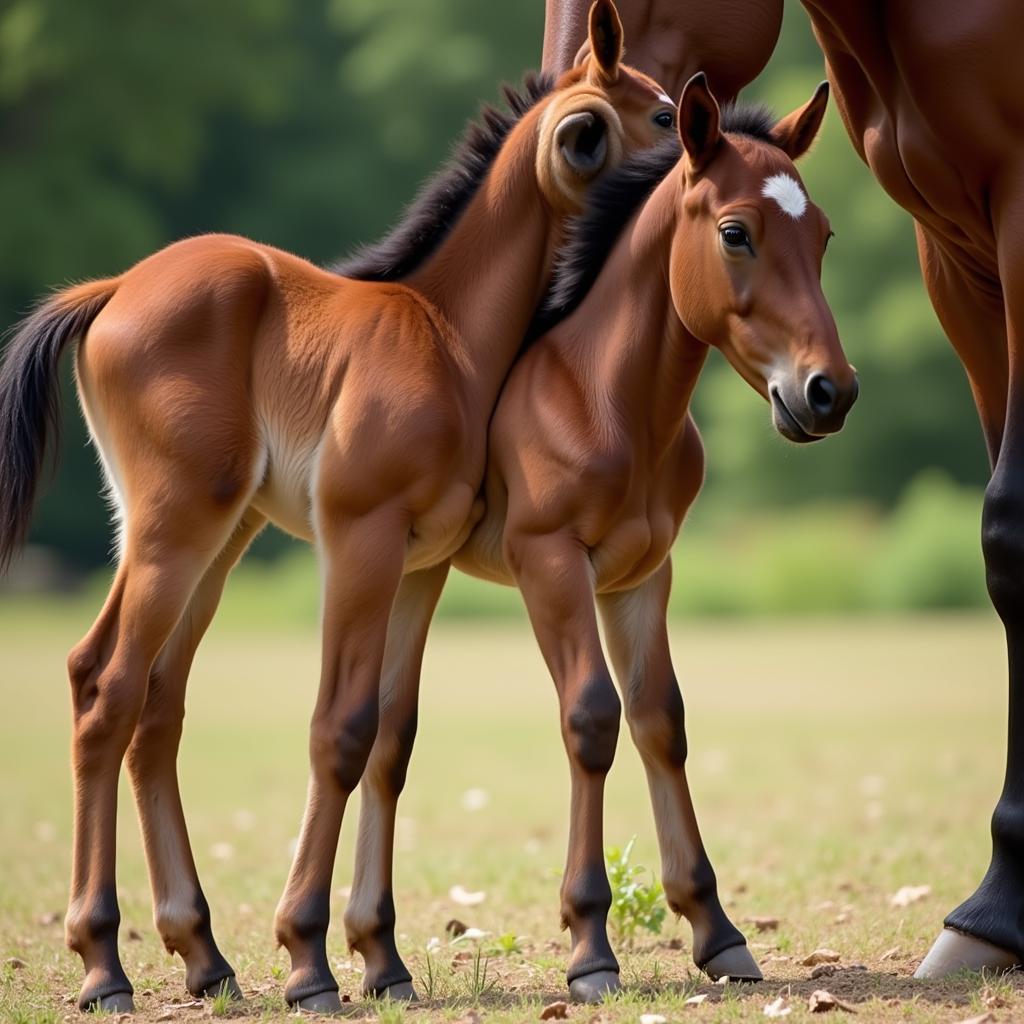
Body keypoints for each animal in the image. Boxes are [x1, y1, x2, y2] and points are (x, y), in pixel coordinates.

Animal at [0, 2, 679, 1007]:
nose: (708, 161)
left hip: (214, 540)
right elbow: (341, 730)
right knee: (108, 687)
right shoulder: (359, 541)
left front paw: (378, 961)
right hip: (176, 531)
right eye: (663, 116)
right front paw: (311, 961)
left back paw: (203, 956)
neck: (447, 334)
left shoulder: (419, 563)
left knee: (154, 705)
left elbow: (388, 737)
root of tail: (114, 289)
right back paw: (104, 965)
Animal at [344, 75, 856, 1003]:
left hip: (416, 575)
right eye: (735, 232)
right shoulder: (552, 563)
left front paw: (717, 931)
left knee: (385, 739)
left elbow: (660, 718)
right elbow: (591, 717)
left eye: (824, 234)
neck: (604, 397)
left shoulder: (642, 575)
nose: (829, 391)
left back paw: (375, 953)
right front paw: (589, 946)